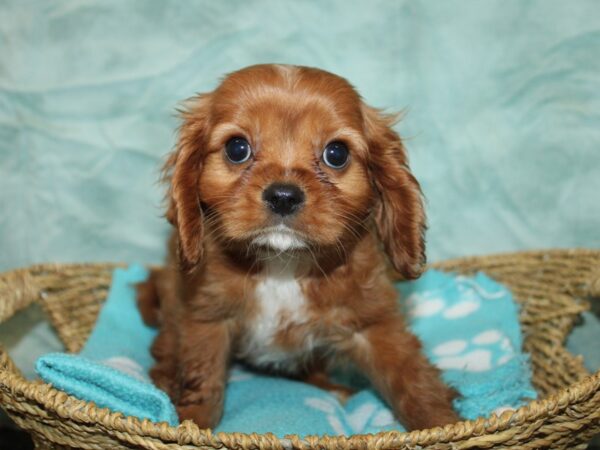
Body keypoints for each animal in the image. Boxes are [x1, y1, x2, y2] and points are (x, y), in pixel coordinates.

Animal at [138, 65, 458, 430]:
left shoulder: (374, 325)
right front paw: (191, 424)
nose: (283, 196)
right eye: (237, 148)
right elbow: (202, 378)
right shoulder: (206, 317)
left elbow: (412, 377)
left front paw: (443, 424)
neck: (283, 265)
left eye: (336, 154)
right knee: (166, 343)